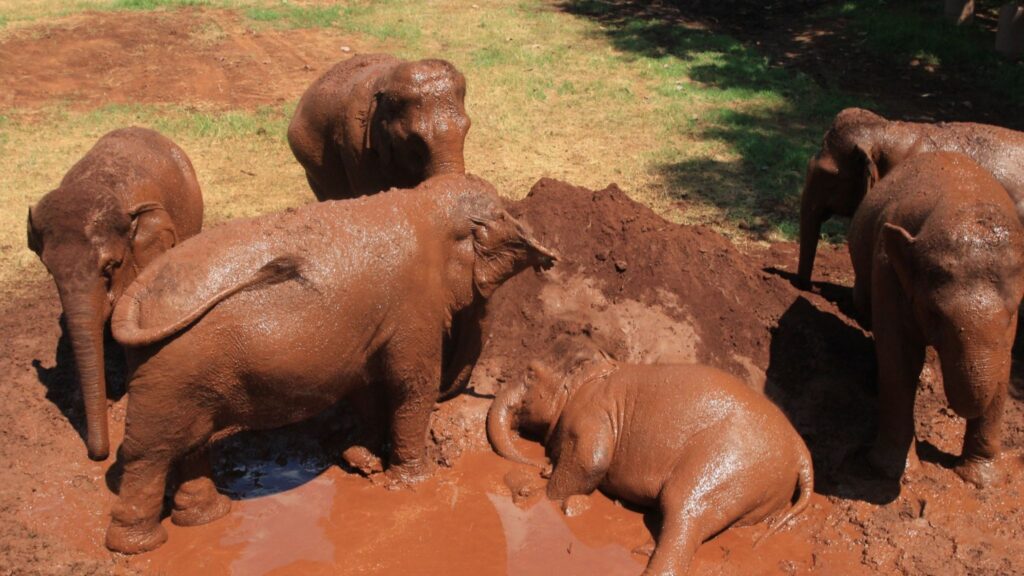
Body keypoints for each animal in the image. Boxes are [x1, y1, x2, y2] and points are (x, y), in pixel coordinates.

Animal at [104, 174, 557, 554]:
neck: (420, 202)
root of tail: (135, 295)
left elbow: (366, 385)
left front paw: (363, 461)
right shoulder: (413, 307)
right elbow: (412, 383)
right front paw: (416, 482)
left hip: (176, 372)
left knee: (189, 442)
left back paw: (206, 518)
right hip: (170, 368)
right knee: (151, 455)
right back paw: (140, 547)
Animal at [487, 352, 813, 576]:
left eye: (530, 373)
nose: (537, 463)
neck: (590, 371)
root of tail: (801, 452)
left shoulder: (590, 412)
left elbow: (591, 462)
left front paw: (540, 490)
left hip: (729, 461)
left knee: (685, 512)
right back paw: (643, 548)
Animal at [848, 151, 1024, 488]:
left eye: (1011, 315)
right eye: (934, 313)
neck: (960, 200)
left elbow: (1004, 365)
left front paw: (980, 480)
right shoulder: (886, 269)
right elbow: (899, 361)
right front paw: (892, 474)